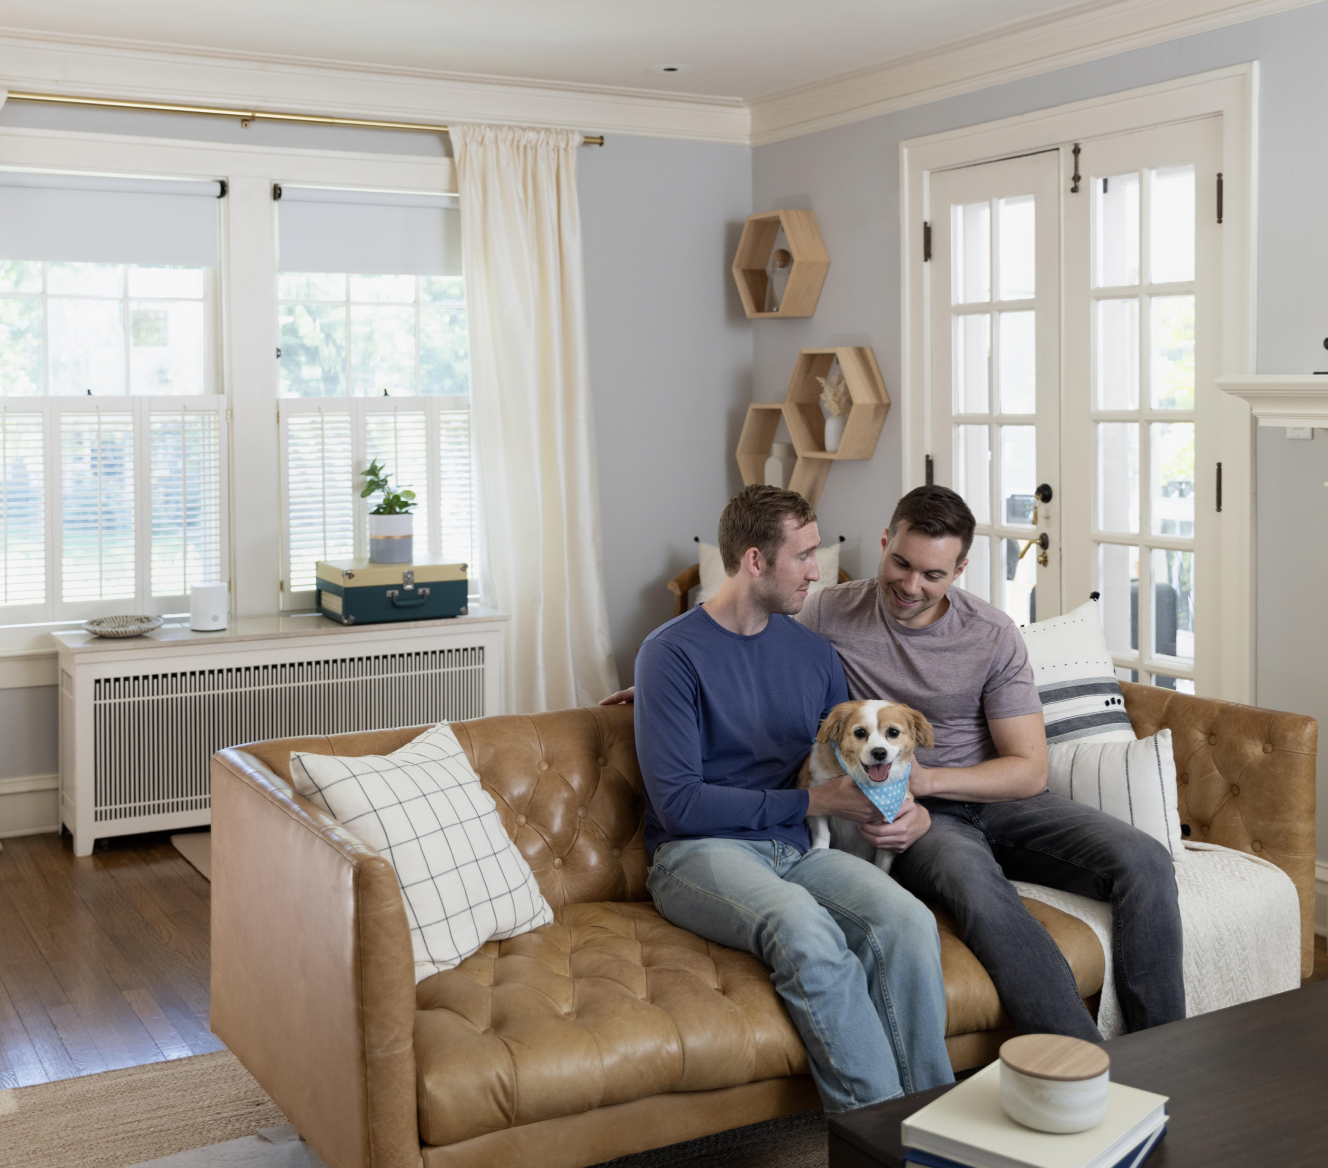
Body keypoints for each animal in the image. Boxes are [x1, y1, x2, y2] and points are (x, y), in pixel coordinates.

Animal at [796, 695, 934, 870]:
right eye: (860, 732)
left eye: (893, 732)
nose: (879, 752)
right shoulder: (816, 796)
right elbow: (822, 833)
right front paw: (820, 850)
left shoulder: (889, 831)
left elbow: (882, 863)